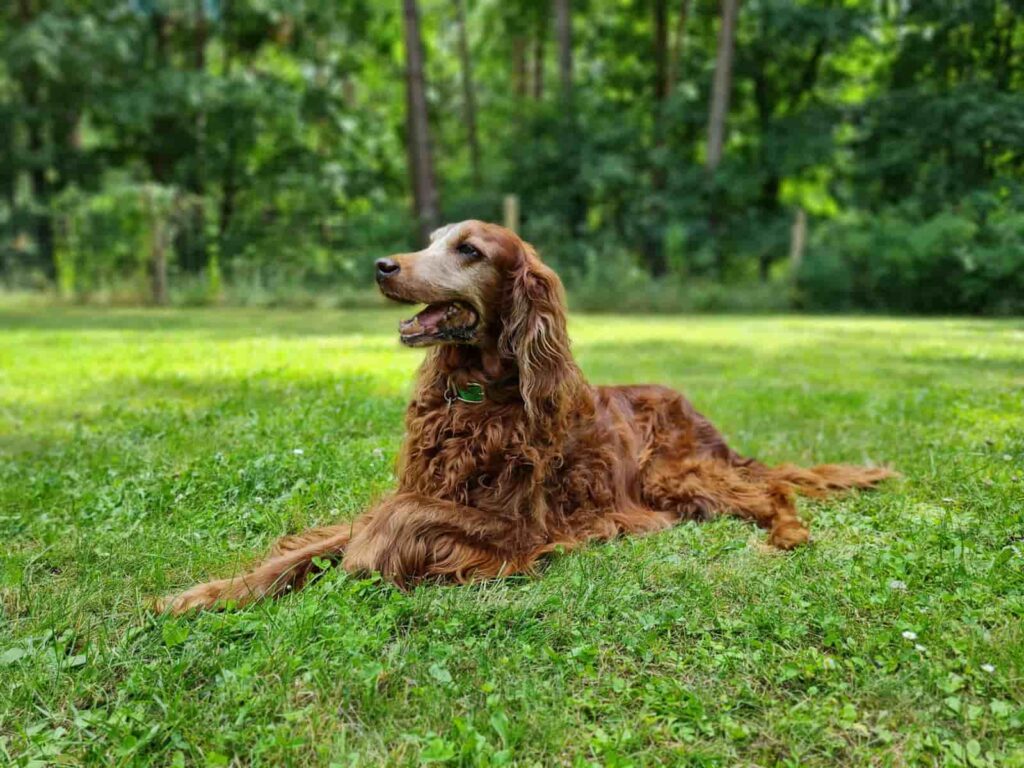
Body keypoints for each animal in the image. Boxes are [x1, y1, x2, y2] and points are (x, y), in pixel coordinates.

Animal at [157, 221, 888, 614]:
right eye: (430, 241)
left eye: (469, 251)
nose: (383, 265)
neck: (480, 401)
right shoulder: (423, 487)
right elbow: (306, 549)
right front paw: (204, 595)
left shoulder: (518, 529)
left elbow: (396, 520)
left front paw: (367, 558)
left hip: (674, 476)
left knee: (775, 491)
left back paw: (786, 537)